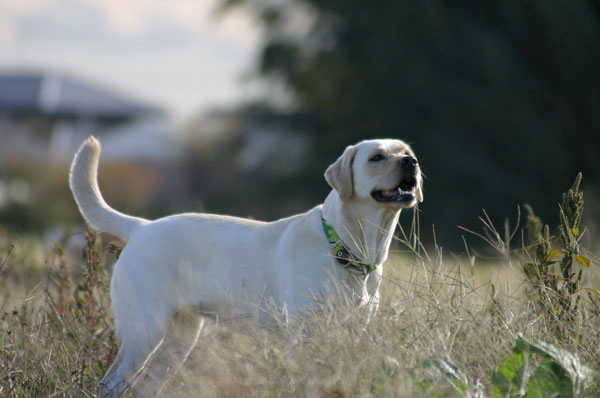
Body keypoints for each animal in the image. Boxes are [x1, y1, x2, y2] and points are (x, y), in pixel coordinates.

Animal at [69, 136, 422, 394]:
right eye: (376, 157)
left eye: (404, 151)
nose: (412, 162)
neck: (345, 246)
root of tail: (140, 227)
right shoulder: (303, 333)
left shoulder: (353, 330)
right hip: (144, 332)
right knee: (110, 384)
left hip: (179, 340)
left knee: (145, 387)